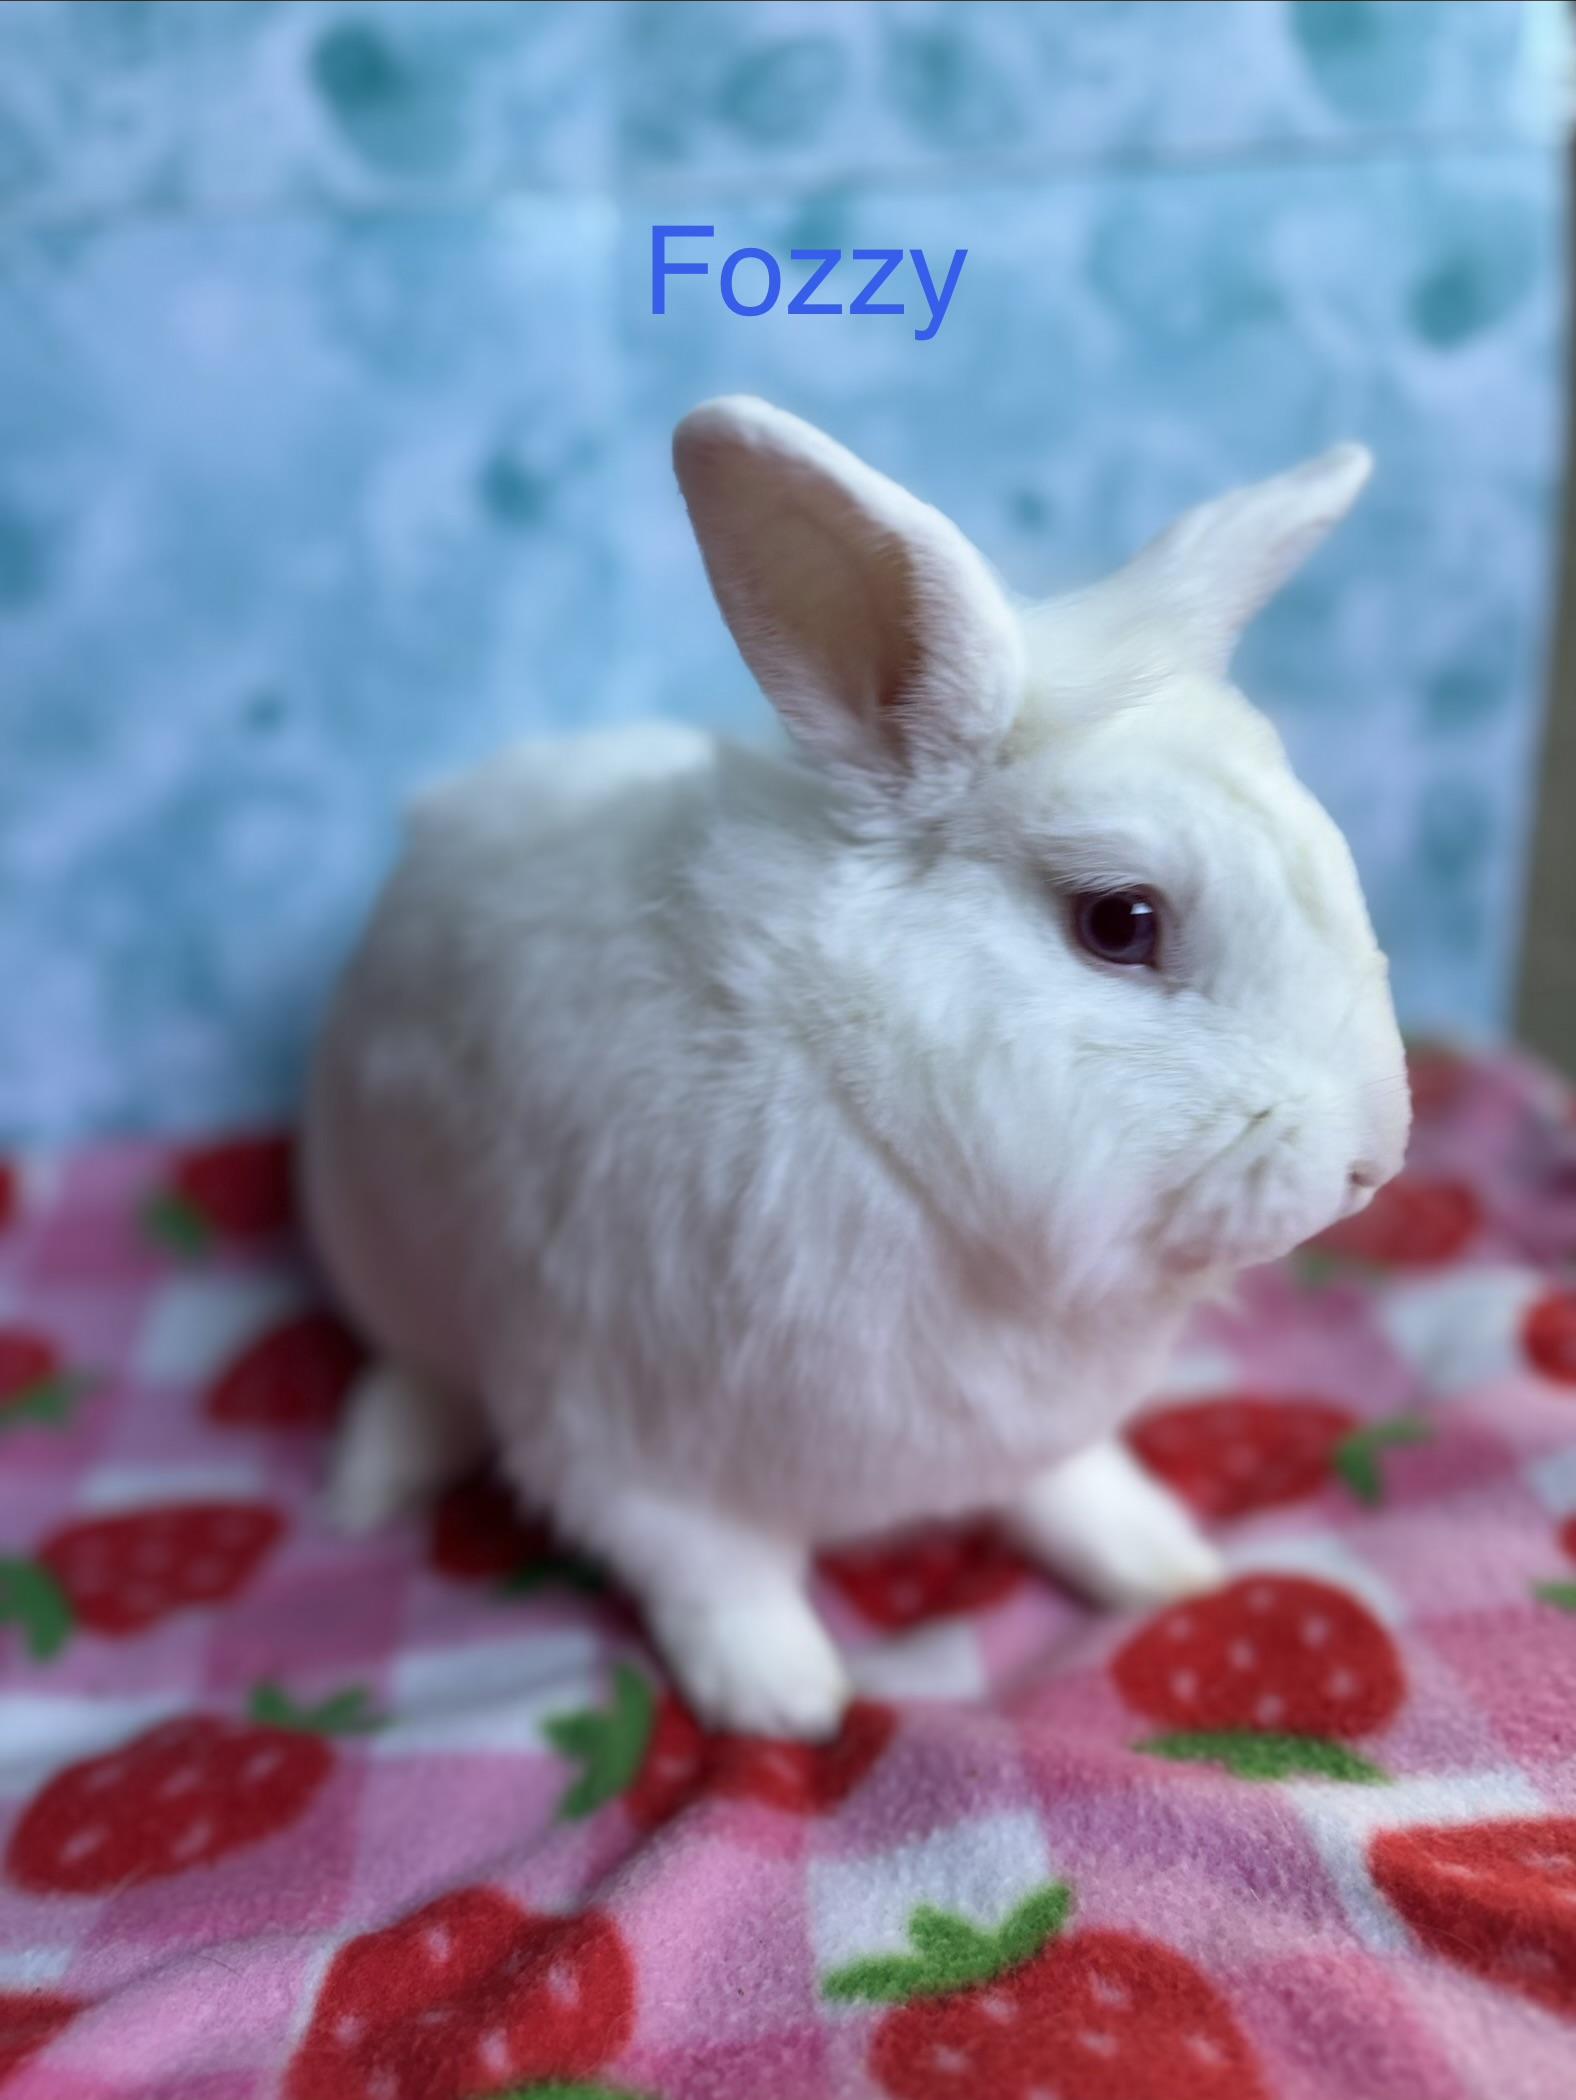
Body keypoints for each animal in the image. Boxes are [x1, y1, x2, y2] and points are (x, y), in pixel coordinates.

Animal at [303, 396, 1410, 1740]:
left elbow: (1072, 1489)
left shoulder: (1027, 1433)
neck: (883, 1112)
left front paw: (1164, 1565)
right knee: (413, 1367)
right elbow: (717, 1578)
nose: (1372, 1164)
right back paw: (372, 1477)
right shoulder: (622, 1441)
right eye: (1119, 922)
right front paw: (788, 1704)